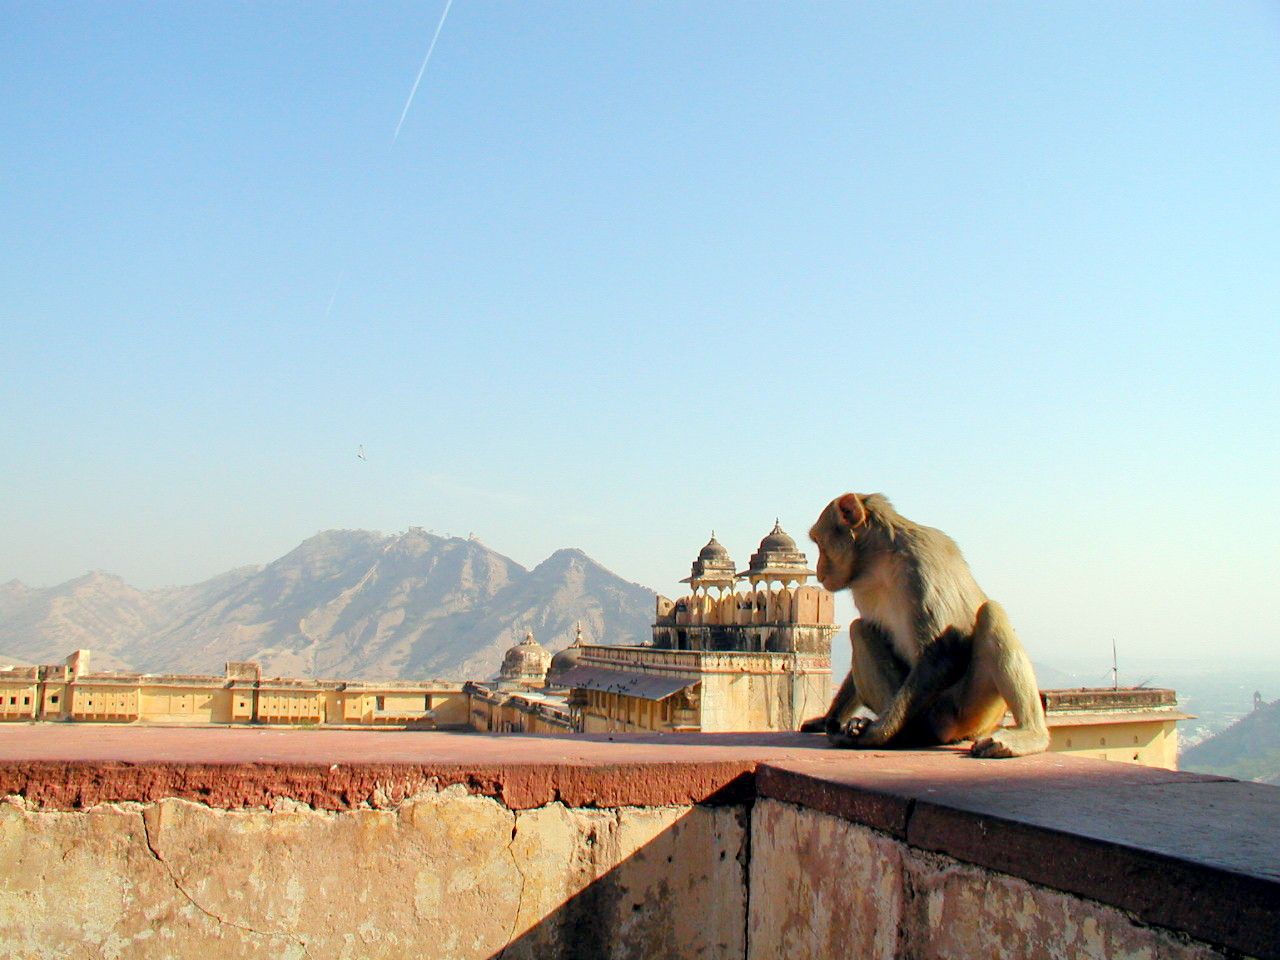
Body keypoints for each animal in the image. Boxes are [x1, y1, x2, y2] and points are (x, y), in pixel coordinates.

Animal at [801, 492, 1049, 758]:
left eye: (819, 542)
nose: (819, 572)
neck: (879, 561)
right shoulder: (863, 588)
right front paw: (826, 719)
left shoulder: (919, 562)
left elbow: (944, 652)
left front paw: (878, 732)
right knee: (860, 629)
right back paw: (903, 734)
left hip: (963, 712)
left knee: (991, 612)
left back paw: (1030, 734)